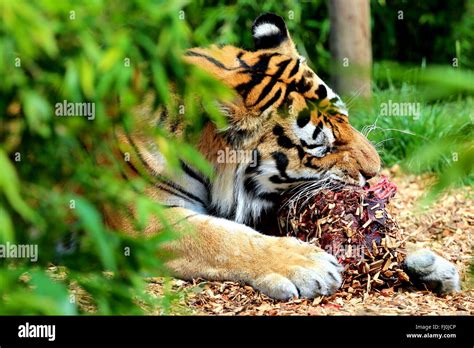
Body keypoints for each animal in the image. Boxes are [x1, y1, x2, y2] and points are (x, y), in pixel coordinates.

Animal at [109, 14, 462, 300]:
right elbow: (222, 238)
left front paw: (428, 262)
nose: (376, 170)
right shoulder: (143, 219)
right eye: (320, 147)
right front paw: (308, 265)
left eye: (344, 117)